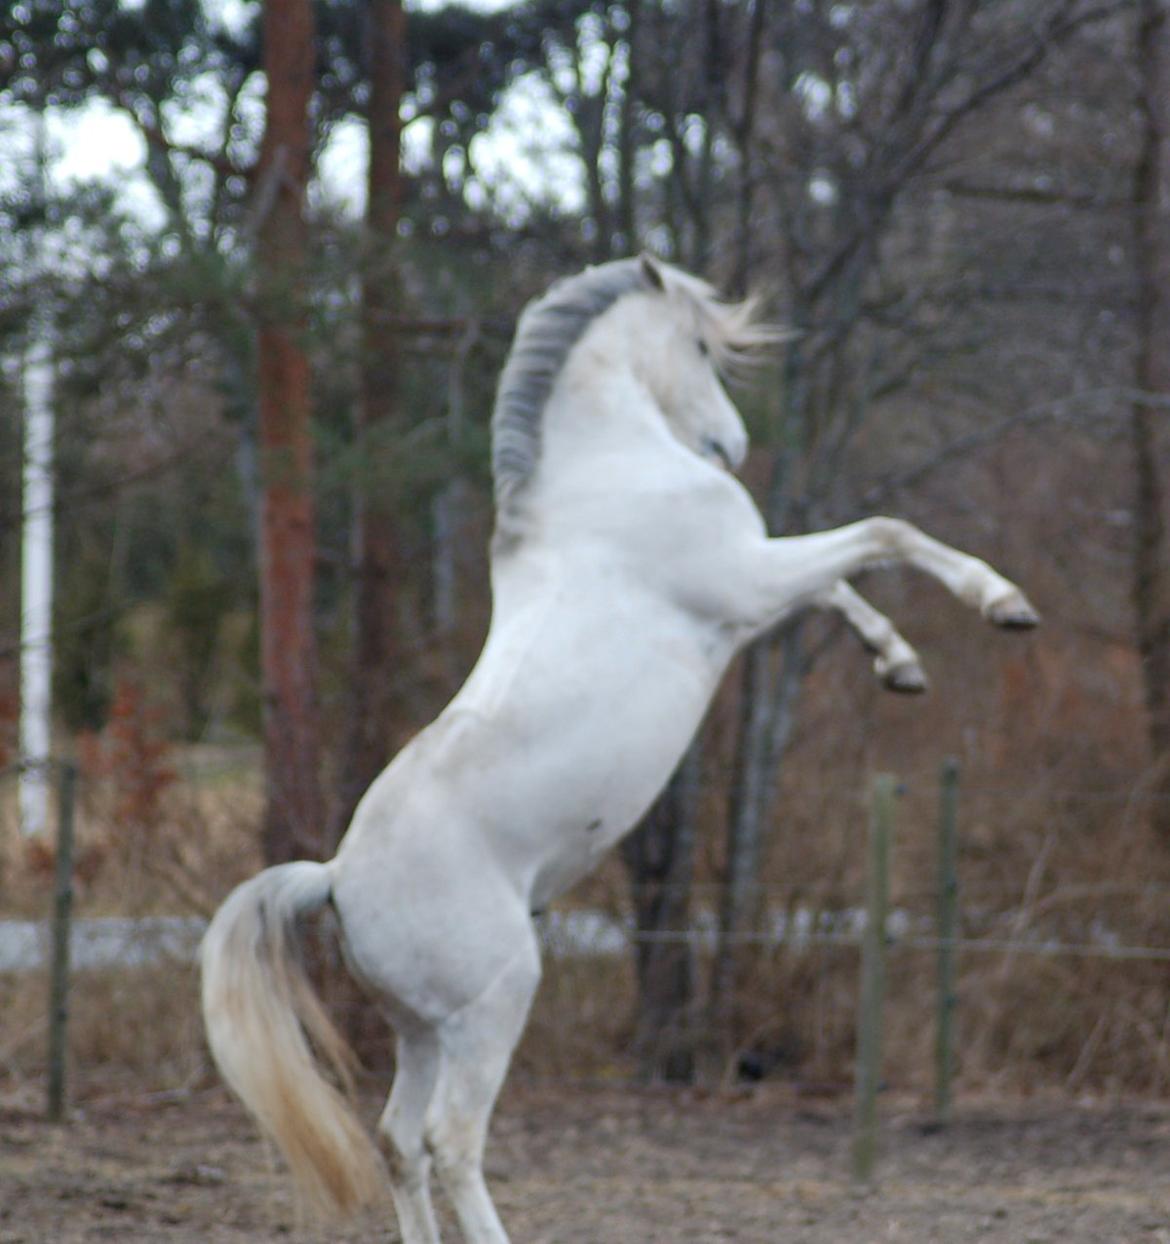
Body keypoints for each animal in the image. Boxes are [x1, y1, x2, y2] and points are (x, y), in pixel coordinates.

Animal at [202, 255, 1039, 1244]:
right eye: (703, 348)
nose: (731, 446)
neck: (603, 474)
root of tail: (333, 879)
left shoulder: (750, 593)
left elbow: (841, 582)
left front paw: (899, 664)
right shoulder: (747, 580)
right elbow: (880, 535)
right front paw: (1002, 603)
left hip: (422, 1030)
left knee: (398, 1142)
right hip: (492, 1007)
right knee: (450, 1142)